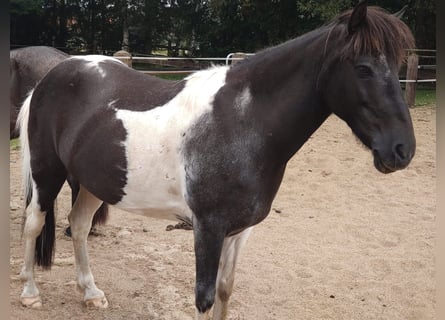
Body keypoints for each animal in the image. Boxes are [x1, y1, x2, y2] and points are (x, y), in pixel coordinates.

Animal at [16, 1, 412, 318]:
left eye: (397, 67)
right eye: (363, 68)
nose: (402, 150)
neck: (242, 122)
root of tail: (50, 77)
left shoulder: (240, 230)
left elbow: (224, 291)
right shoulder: (208, 228)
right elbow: (204, 298)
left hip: (96, 182)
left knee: (79, 224)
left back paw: (91, 293)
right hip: (47, 174)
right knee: (34, 224)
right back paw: (30, 293)